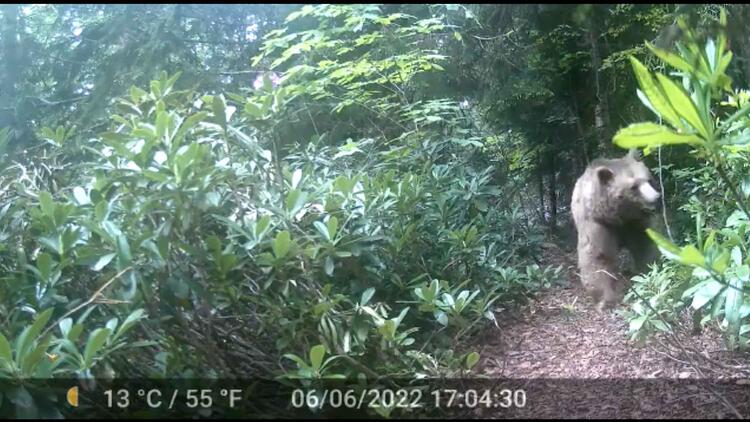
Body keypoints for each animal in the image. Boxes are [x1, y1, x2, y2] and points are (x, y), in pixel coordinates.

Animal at [572, 148, 660, 310]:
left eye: (649, 180)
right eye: (633, 187)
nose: (656, 198)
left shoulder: (636, 223)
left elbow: (645, 246)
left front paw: (649, 273)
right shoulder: (598, 224)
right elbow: (598, 257)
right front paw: (606, 301)